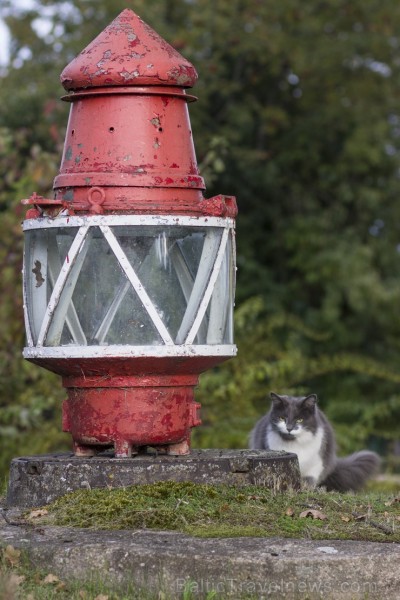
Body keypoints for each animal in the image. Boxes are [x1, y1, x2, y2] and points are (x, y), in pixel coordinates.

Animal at [250, 392, 382, 490]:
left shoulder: (317, 461)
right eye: (282, 418)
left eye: (299, 420)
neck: (294, 444)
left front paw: (305, 485)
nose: (289, 428)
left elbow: (310, 477)